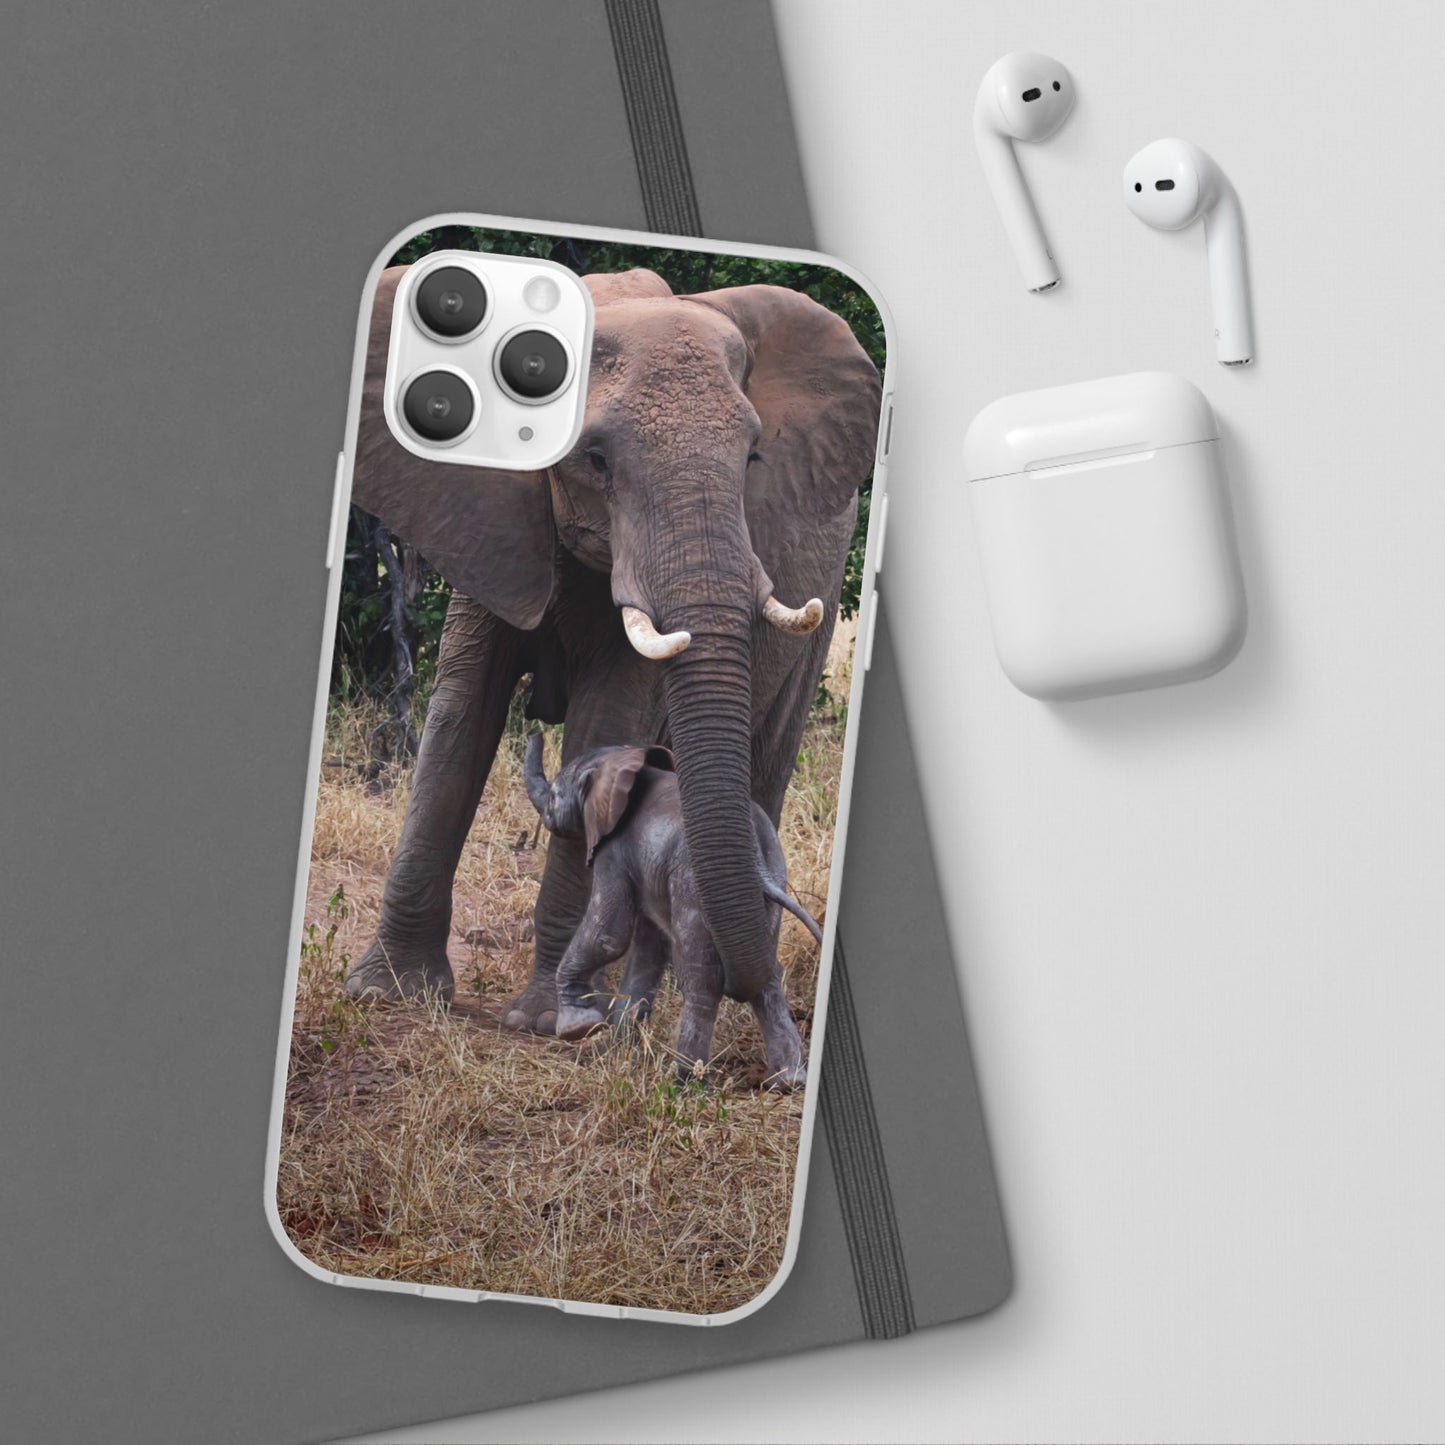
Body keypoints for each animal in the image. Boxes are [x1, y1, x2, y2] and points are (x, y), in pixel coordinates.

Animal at [341, 259, 881, 1035]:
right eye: (593, 459)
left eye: (753, 456)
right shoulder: (486, 517)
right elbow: (460, 718)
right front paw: (388, 994)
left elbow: (607, 720)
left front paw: (552, 1020)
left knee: (764, 762)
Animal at [522, 734, 822, 1088]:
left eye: (555, 796)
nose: (536, 733)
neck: (625, 761)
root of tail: (756, 859)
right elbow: (648, 950)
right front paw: (615, 1055)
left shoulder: (615, 851)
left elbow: (608, 936)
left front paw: (578, 1027)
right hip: (775, 875)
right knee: (768, 975)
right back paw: (788, 1081)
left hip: (692, 883)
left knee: (702, 977)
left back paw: (686, 1079)